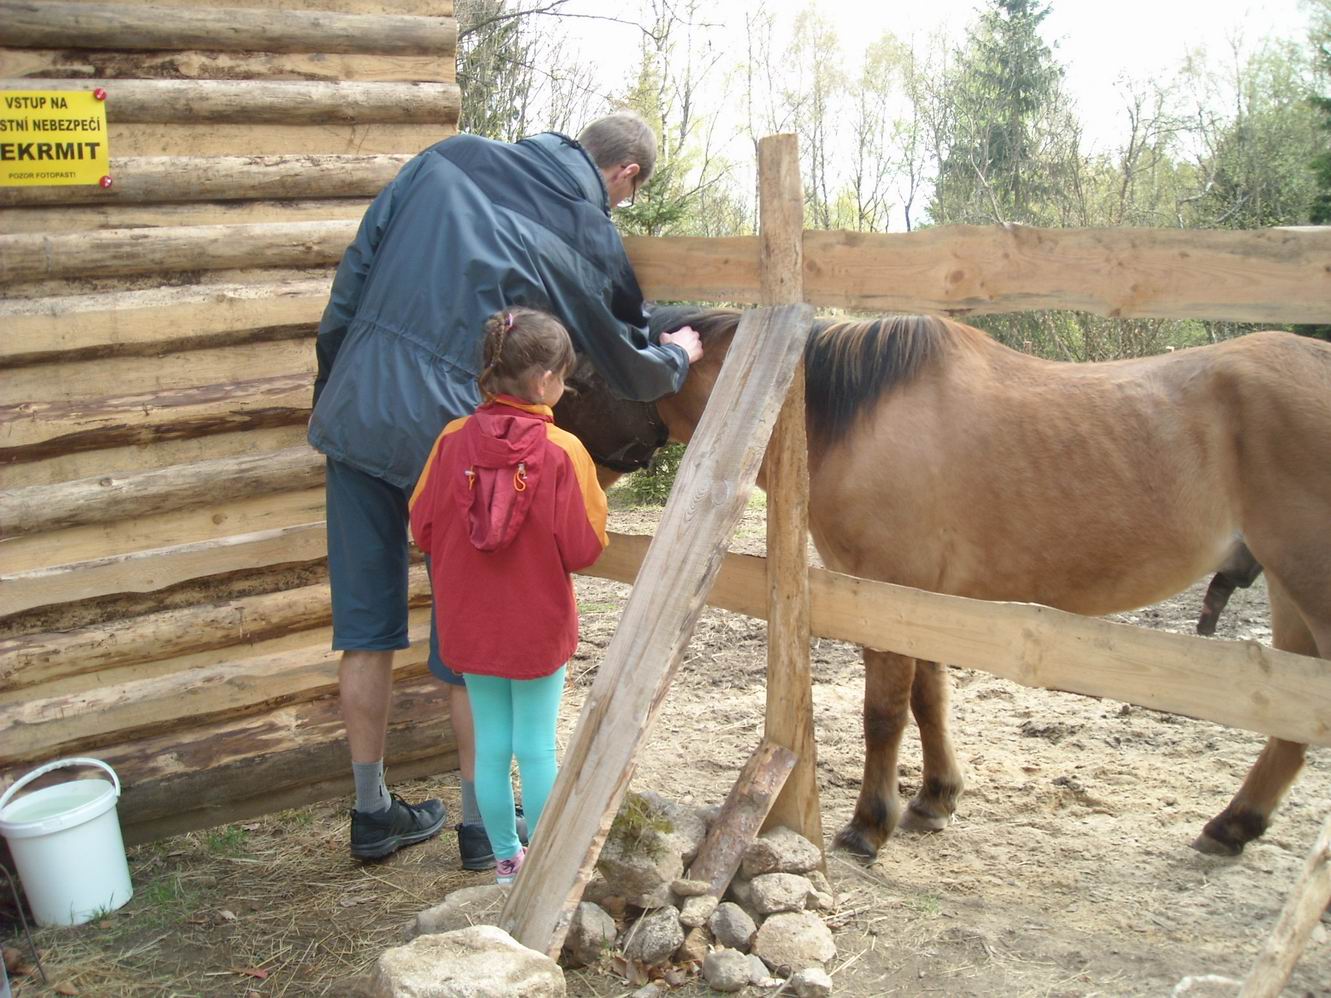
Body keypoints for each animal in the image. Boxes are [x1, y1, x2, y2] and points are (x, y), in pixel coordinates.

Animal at [567, 308, 1331, 862]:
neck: (848, 416)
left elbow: (884, 714)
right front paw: (935, 799)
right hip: (1288, 594)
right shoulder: (921, 601)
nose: (576, 471)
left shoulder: (886, 591)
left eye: (582, 382)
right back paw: (1234, 825)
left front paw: (868, 825)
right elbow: (930, 699)